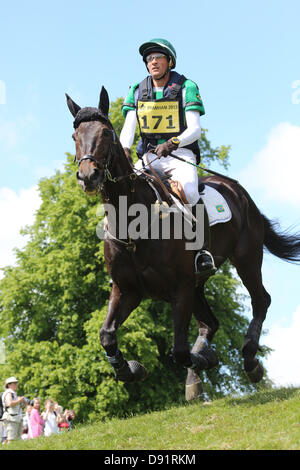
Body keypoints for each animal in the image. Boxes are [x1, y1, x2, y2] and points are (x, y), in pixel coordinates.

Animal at [65, 85, 300, 400]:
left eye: (105, 133)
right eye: (75, 136)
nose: (88, 176)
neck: (132, 226)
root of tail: (237, 191)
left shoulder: (180, 288)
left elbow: (178, 350)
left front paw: (206, 359)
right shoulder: (128, 290)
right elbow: (107, 335)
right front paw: (131, 370)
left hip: (246, 258)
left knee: (260, 300)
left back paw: (250, 361)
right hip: (199, 284)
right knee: (210, 323)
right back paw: (197, 376)